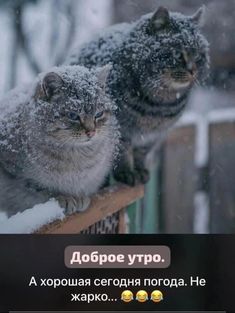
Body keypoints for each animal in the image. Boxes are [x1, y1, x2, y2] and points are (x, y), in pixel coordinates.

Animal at [0, 65, 118, 217]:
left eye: (99, 114)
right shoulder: (18, 176)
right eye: (73, 115)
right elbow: (41, 189)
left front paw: (79, 197)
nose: (91, 132)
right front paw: (64, 197)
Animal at [67, 6, 209, 185]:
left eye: (198, 55)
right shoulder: (121, 130)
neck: (160, 105)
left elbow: (141, 153)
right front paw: (127, 173)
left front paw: (140, 170)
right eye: (178, 55)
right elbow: (123, 152)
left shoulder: (152, 136)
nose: (193, 70)